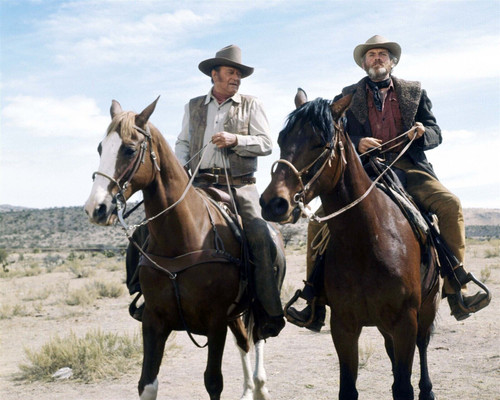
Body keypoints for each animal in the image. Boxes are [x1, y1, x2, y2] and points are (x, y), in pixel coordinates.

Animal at [84, 97, 284, 400]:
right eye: (100, 148)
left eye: (129, 149)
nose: (96, 208)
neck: (183, 238)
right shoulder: (154, 320)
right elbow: (147, 383)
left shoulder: (215, 322)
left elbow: (213, 382)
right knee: (243, 341)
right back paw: (249, 389)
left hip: (254, 304)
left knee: (258, 336)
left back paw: (260, 386)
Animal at [260, 91, 440, 400]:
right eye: (282, 139)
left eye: (321, 143)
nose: (274, 203)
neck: (366, 241)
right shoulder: (343, 325)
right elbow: (349, 388)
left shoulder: (405, 321)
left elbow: (404, 387)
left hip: (428, 307)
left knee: (424, 344)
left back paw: (427, 390)